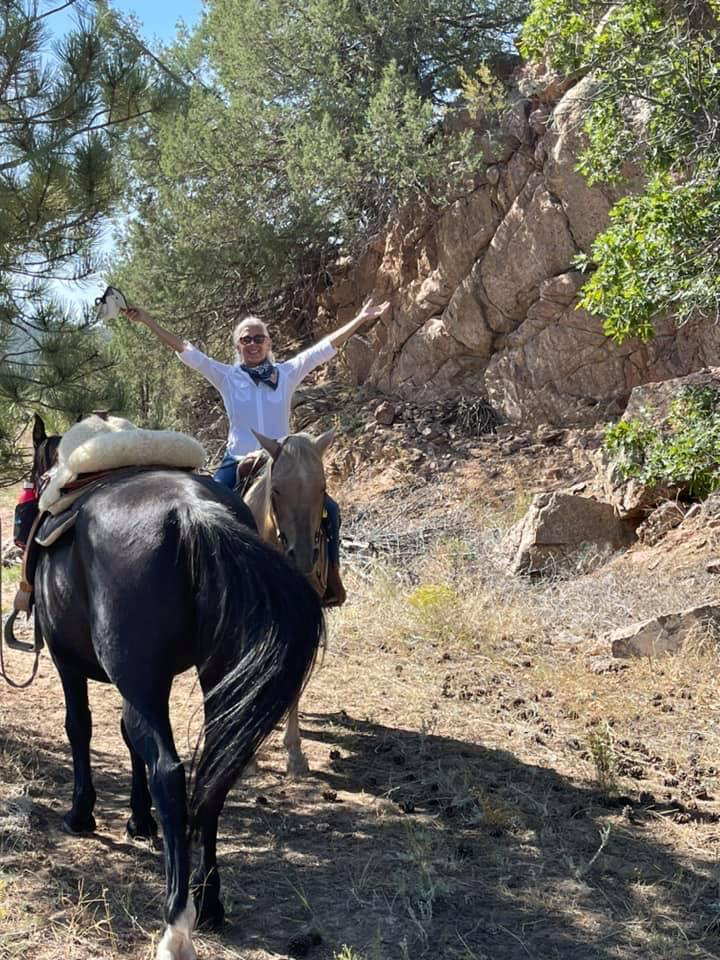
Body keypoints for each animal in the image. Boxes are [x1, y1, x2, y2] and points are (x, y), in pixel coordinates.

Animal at [10, 416, 325, 960]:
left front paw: (83, 813)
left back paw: (176, 924)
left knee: (170, 772)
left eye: (34, 475)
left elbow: (81, 728)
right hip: (214, 678)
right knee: (214, 775)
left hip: (144, 681)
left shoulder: (71, 662)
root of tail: (193, 513)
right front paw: (140, 821)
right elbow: (126, 735)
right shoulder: (137, 683)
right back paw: (211, 901)